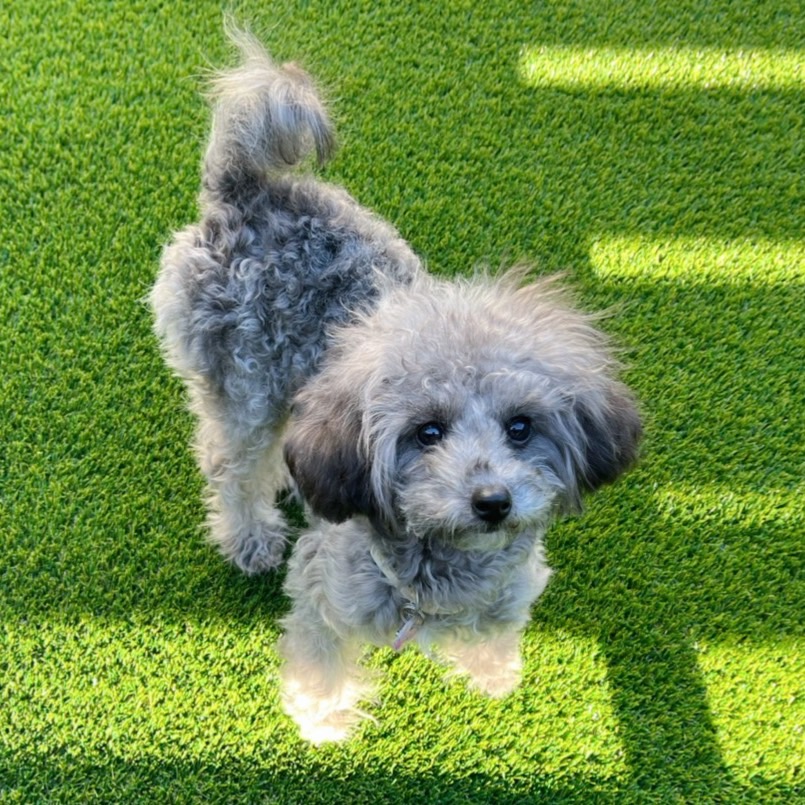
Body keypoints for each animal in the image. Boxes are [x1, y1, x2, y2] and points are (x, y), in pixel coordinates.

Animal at [151, 29, 642, 743]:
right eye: (426, 432)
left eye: (521, 427)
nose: (492, 501)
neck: (445, 574)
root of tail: (248, 192)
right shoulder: (321, 591)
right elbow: (320, 664)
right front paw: (324, 718)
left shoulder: (513, 586)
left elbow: (498, 632)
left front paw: (492, 671)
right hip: (242, 394)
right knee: (229, 469)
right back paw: (250, 534)